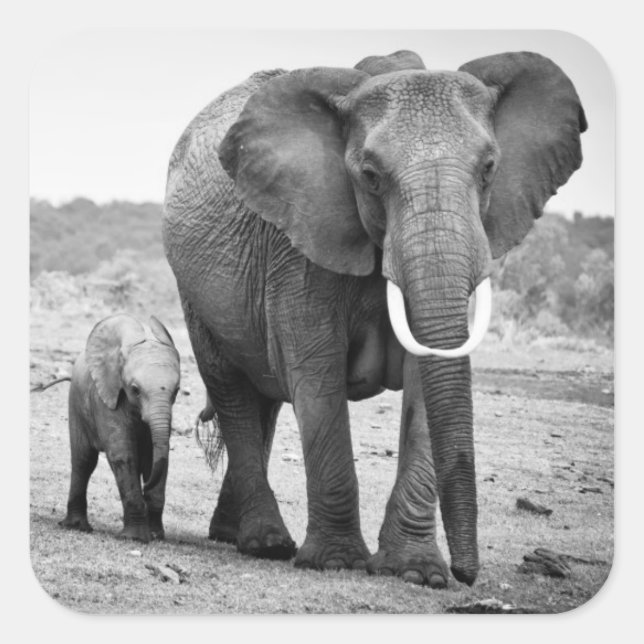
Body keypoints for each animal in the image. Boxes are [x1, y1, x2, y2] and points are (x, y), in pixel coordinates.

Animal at [58, 314, 181, 542]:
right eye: (135, 390)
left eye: (176, 391)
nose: (146, 487)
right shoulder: (106, 398)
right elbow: (123, 455)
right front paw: (135, 538)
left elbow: (157, 458)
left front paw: (155, 535)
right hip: (76, 403)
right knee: (83, 461)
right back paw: (77, 527)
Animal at [163, 49, 586, 586]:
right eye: (369, 175)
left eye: (489, 168)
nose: (467, 575)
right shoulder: (299, 247)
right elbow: (317, 377)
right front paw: (337, 562)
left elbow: (426, 383)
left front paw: (417, 573)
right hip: (192, 290)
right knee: (233, 389)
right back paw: (266, 544)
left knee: (265, 399)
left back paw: (232, 535)